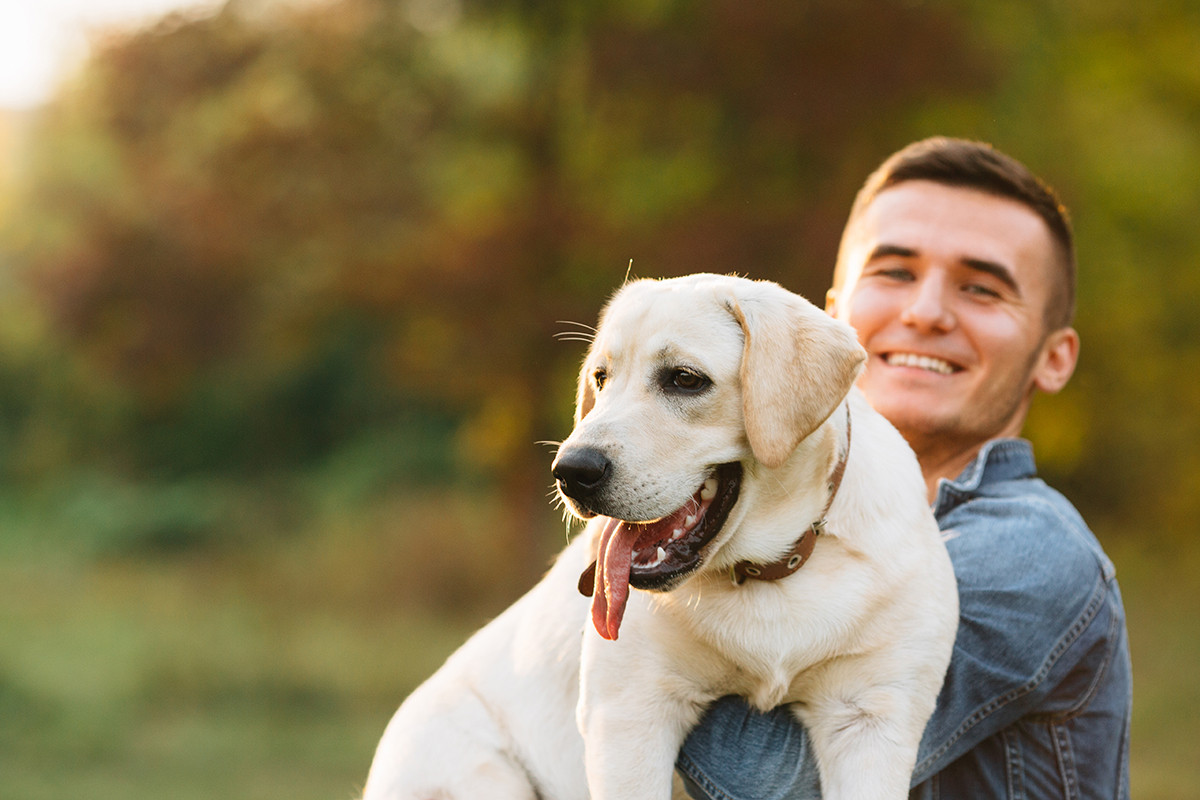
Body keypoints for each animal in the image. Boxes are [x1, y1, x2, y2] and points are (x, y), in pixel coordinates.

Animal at [360, 275, 960, 800]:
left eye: (685, 379)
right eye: (601, 378)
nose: (570, 471)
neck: (766, 574)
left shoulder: (873, 717)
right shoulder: (629, 713)